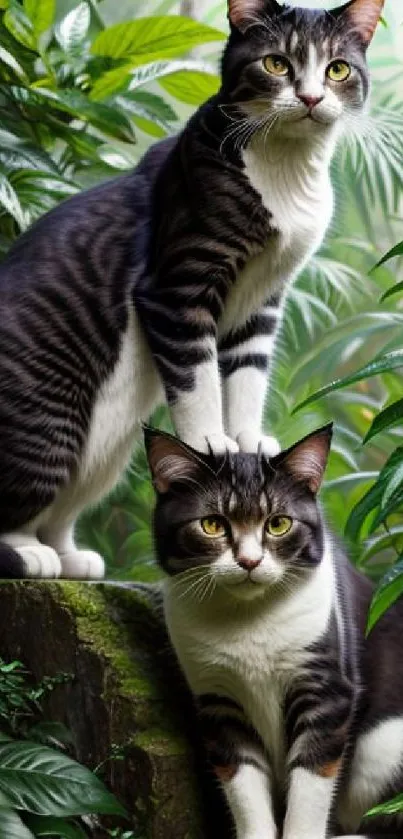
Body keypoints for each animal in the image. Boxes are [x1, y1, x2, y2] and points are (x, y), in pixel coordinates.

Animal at [0, 0, 386, 576]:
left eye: (337, 68)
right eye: (276, 63)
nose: (312, 97)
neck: (287, 171)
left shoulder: (262, 300)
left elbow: (247, 375)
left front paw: (247, 440)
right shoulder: (176, 287)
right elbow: (197, 377)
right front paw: (212, 444)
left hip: (103, 447)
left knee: (64, 502)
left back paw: (68, 555)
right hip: (51, 427)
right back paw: (29, 552)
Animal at [145, 426, 403, 839]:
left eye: (278, 523)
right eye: (212, 524)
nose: (249, 561)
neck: (249, 619)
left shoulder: (325, 689)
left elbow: (311, 782)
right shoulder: (218, 701)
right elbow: (243, 785)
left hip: (382, 745)